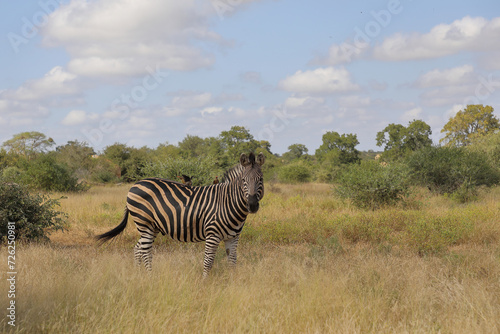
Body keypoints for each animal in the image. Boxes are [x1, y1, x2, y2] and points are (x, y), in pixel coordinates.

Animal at [94, 152, 266, 276]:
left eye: (261, 180)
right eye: (243, 180)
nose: (252, 205)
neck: (228, 203)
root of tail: (135, 184)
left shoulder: (233, 237)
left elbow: (232, 261)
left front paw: (231, 282)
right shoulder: (213, 234)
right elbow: (208, 262)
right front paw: (204, 285)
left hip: (152, 227)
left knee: (138, 248)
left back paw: (138, 275)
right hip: (144, 223)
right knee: (145, 251)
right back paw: (150, 278)